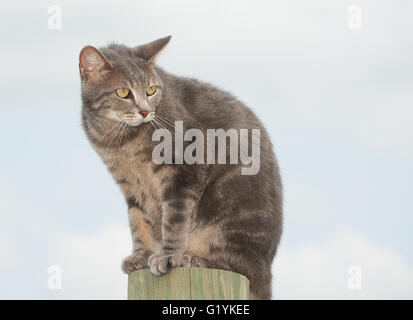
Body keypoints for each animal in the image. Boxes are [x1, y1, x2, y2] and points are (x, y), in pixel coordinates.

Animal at [79, 36, 282, 298]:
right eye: (123, 92)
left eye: (151, 90)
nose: (145, 111)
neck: (119, 140)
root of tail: (267, 269)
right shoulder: (129, 184)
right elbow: (138, 222)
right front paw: (141, 256)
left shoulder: (183, 173)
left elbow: (174, 220)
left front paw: (167, 256)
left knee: (240, 264)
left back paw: (194, 258)